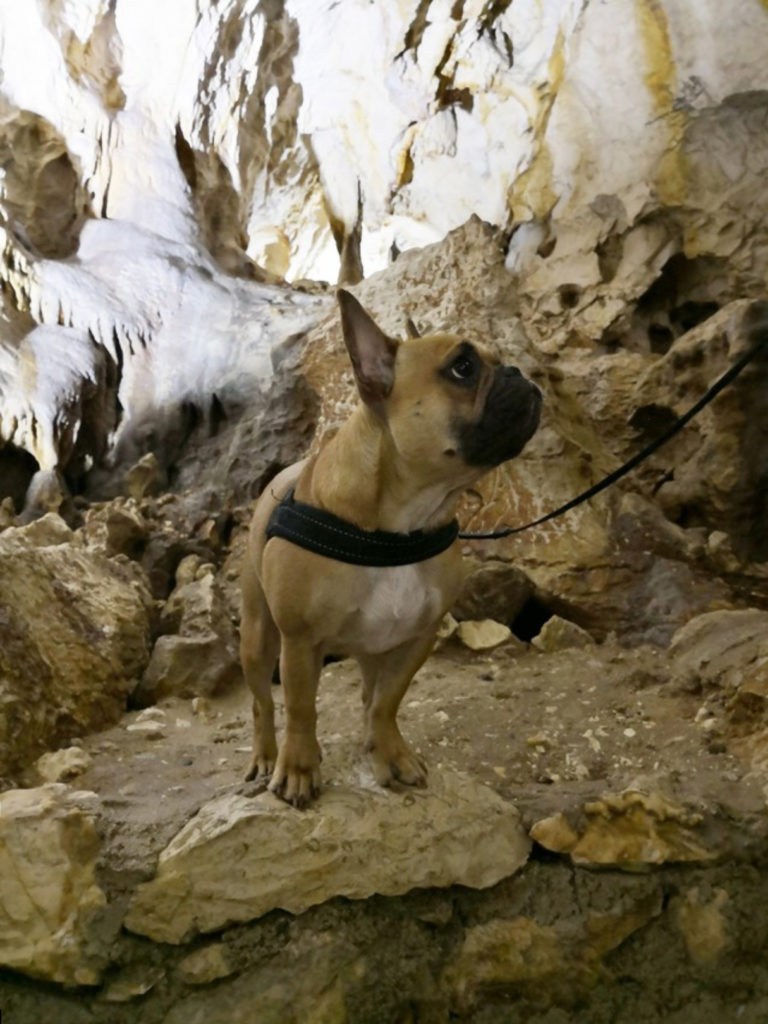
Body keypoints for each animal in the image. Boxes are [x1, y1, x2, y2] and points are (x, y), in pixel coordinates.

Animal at [240, 290, 540, 806]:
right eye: (462, 367)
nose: (518, 372)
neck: (400, 523)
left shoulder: (415, 637)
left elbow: (386, 703)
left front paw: (391, 754)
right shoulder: (299, 642)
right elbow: (300, 709)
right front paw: (298, 769)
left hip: (370, 645)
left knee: (367, 696)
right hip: (258, 637)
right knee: (263, 702)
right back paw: (266, 757)